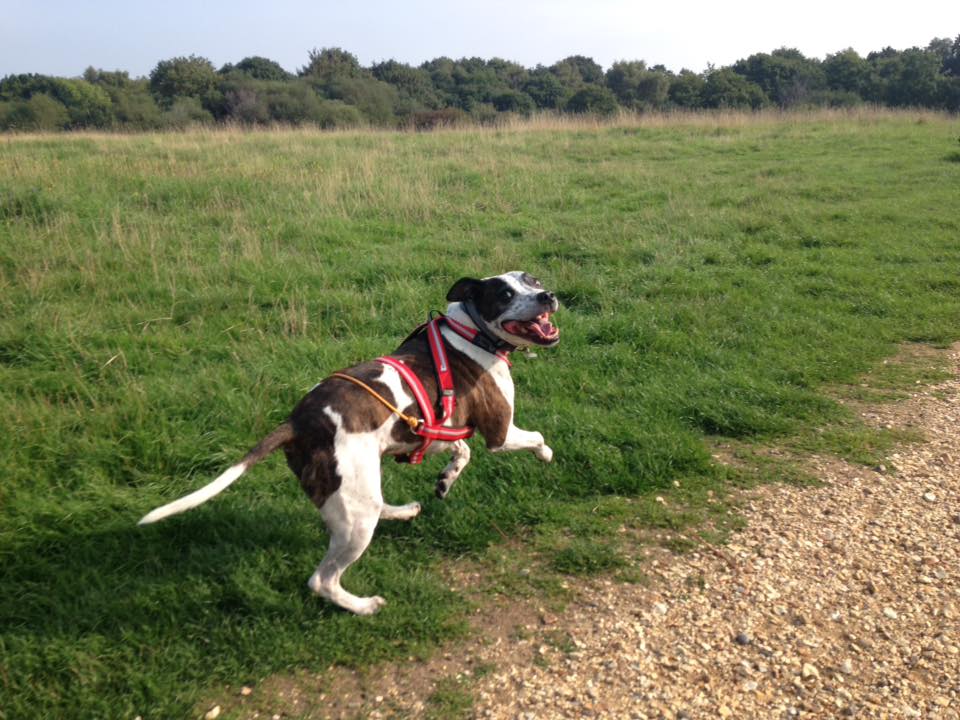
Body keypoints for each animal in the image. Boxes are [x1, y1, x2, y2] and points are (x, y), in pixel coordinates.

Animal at [142, 272, 564, 616]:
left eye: (533, 279)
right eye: (505, 293)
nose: (547, 295)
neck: (470, 332)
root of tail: (297, 423)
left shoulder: (436, 429)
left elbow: (462, 449)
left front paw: (447, 478)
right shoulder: (500, 431)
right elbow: (535, 438)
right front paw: (546, 454)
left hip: (352, 492)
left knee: (371, 509)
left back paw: (403, 511)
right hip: (355, 513)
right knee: (322, 579)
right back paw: (363, 606)